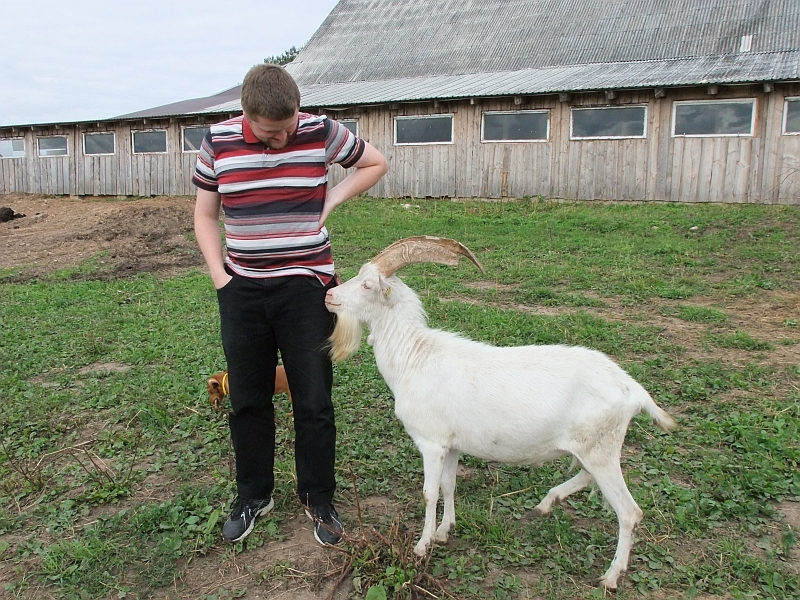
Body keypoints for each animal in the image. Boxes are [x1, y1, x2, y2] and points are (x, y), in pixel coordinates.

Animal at [324, 237, 676, 588]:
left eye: (367, 284)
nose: (329, 296)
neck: (414, 357)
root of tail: (632, 389)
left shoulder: (432, 443)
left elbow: (429, 493)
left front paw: (422, 546)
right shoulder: (452, 444)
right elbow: (449, 486)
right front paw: (444, 531)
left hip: (600, 448)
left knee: (629, 512)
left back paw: (611, 576)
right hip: (593, 447)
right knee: (589, 476)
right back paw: (547, 503)